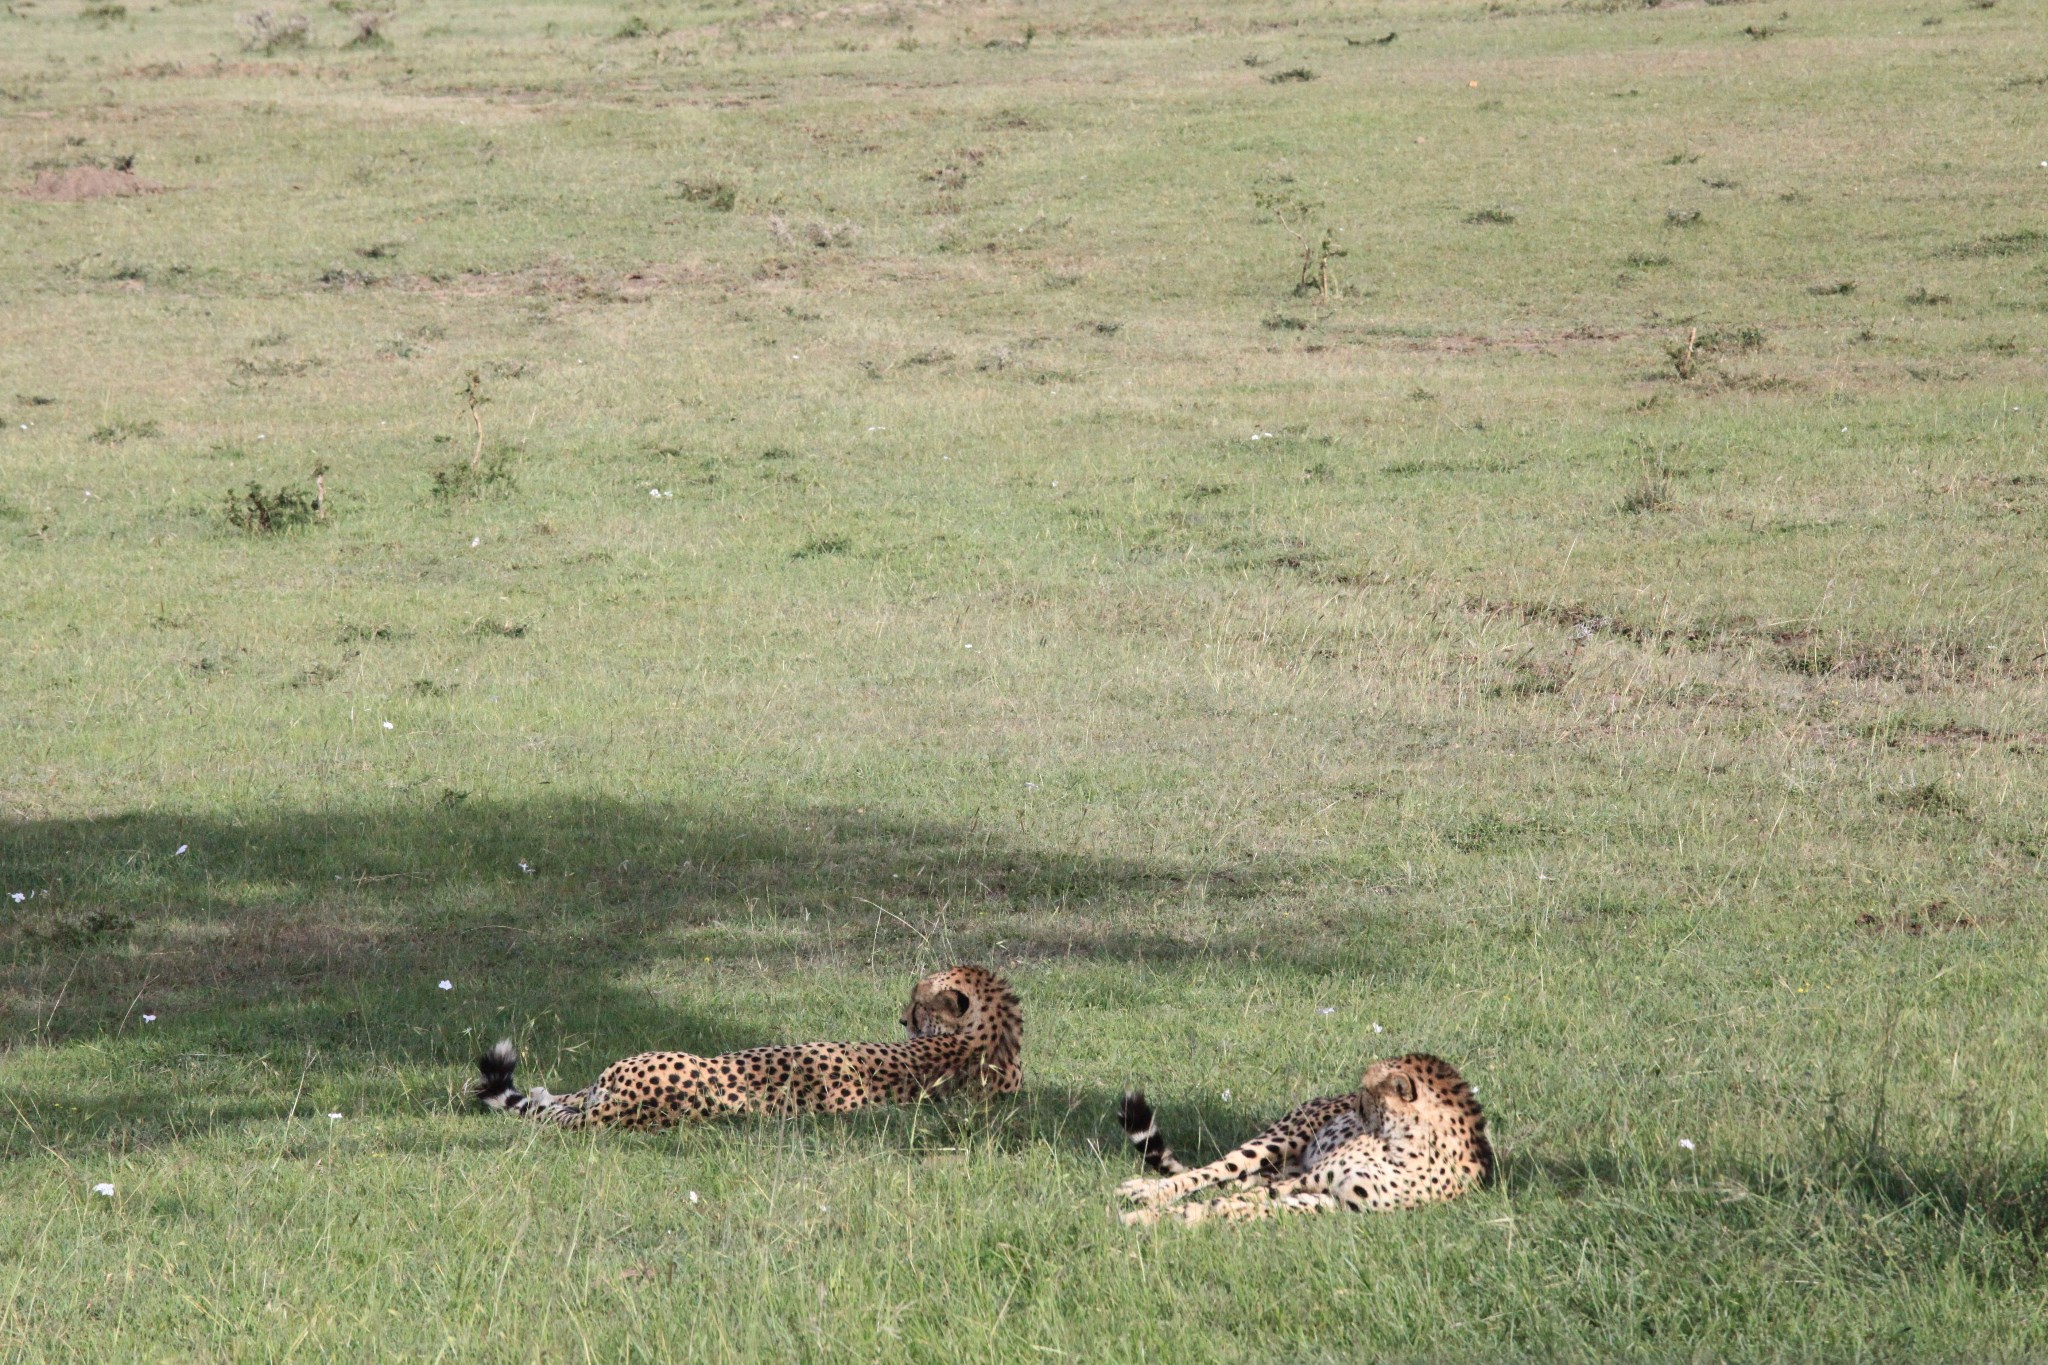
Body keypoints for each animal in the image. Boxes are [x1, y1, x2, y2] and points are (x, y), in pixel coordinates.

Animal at [1122, 1055, 1490, 1227]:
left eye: (1367, 1090)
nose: (1354, 1104)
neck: (1402, 1145)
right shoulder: (1308, 1180)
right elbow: (1236, 1199)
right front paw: (1148, 1215)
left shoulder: (1335, 1201)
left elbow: (1245, 1205)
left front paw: (1192, 1215)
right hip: (1278, 1142)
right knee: (1212, 1171)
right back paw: (1146, 1191)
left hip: (1282, 1168)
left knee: (1234, 1182)